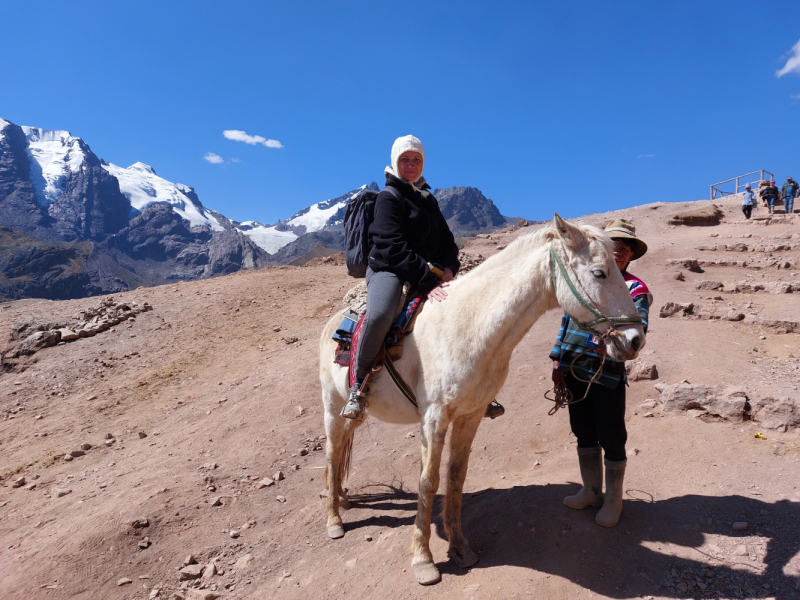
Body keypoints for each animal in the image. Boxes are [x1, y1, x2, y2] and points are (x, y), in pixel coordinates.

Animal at [318, 216, 644, 584]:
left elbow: (456, 478)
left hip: (356, 415)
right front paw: (423, 560)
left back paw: (343, 498)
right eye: (600, 273)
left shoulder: (470, 415)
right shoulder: (434, 417)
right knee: (332, 453)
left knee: (341, 451)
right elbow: (428, 482)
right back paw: (334, 520)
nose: (635, 340)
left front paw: (460, 548)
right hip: (333, 406)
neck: (470, 326)